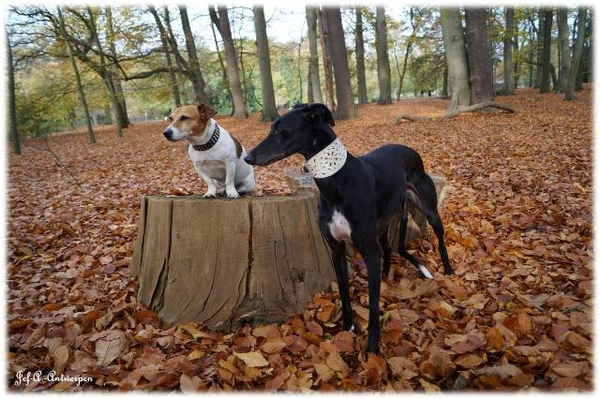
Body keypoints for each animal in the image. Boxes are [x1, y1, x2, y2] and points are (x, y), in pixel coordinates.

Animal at [243, 103, 450, 354]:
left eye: (281, 131)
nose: (248, 157)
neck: (337, 182)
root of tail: (409, 149)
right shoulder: (336, 249)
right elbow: (343, 289)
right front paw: (348, 326)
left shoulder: (368, 251)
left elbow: (373, 306)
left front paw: (372, 347)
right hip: (383, 223)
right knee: (387, 248)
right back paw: (386, 275)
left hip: (429, 210)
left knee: (439, 237)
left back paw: (448, 271)